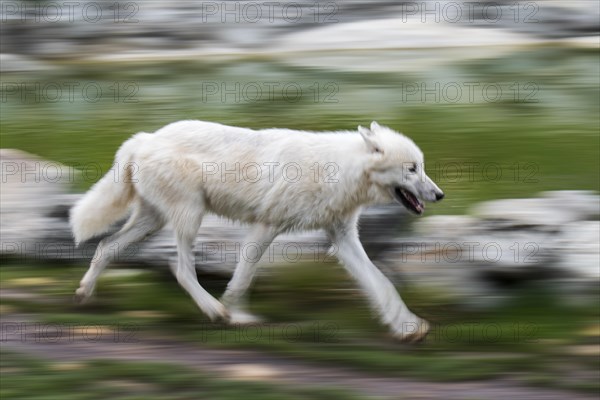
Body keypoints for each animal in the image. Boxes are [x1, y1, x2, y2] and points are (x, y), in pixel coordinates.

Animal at [71, 120, 446, 342]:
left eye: (421, 167)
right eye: (411, 169)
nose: (440, 195)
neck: (340, 172)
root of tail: (144, 138)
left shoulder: (343, 239)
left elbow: (382, 284)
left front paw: (407, 326)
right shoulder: (266, 227)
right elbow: (243, 278)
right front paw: (238, 316)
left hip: (153, 221)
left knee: (106, 247)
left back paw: (84, 294)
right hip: (189, 218)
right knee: (180, 269)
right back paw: (214, 311)